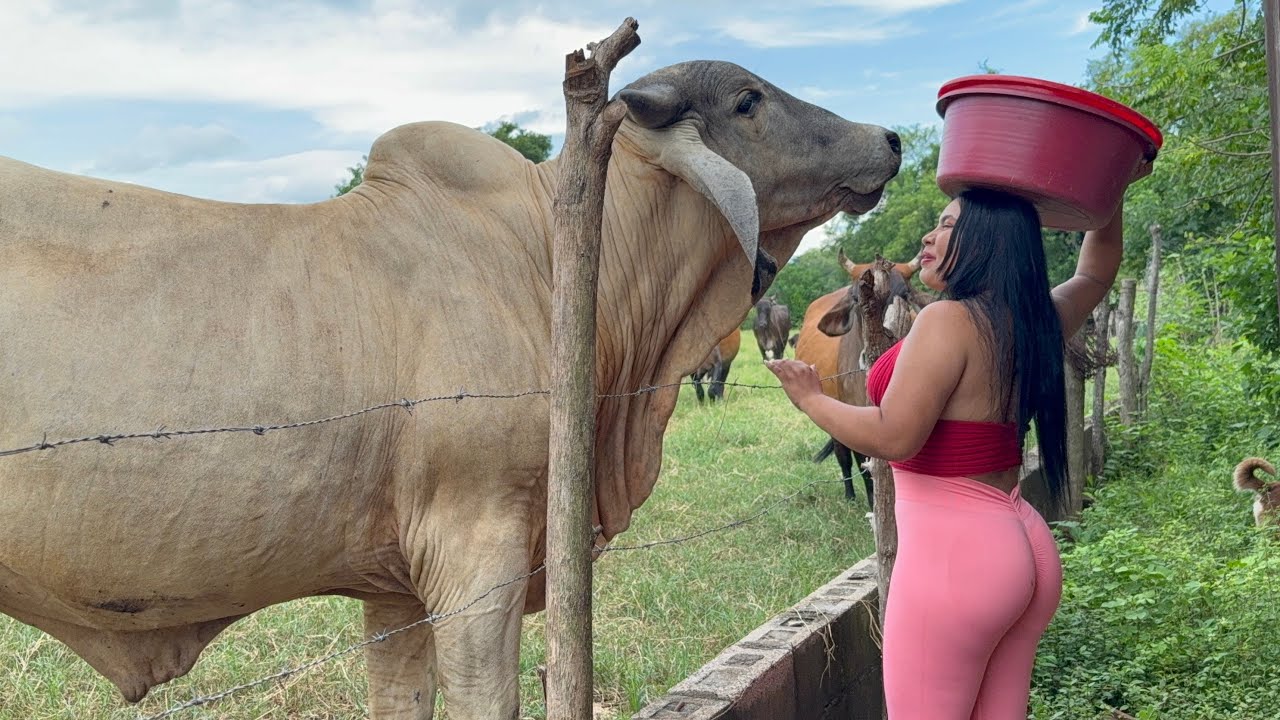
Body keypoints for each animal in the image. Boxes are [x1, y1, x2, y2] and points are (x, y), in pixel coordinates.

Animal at [794, 252, 923, 506]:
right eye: (856, 299)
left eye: (904, 295)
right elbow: (865, 467)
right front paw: (873, 503)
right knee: (843, 457)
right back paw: (850, 495)